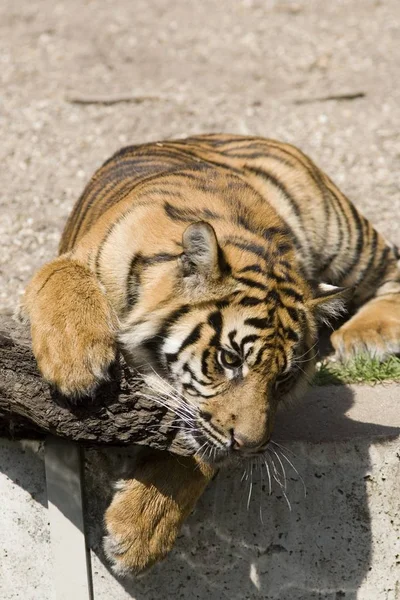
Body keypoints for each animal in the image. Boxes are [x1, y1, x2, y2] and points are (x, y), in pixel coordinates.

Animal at [19, 134, 400, 576]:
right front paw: (77, 368)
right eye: (229, 360)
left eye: (283, 379)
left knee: (391, 268)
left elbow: (199, 448)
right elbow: (63, 279)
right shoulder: (73, 259)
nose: (249, 447)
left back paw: (366, 335)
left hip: (342, 236)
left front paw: (140, 532)